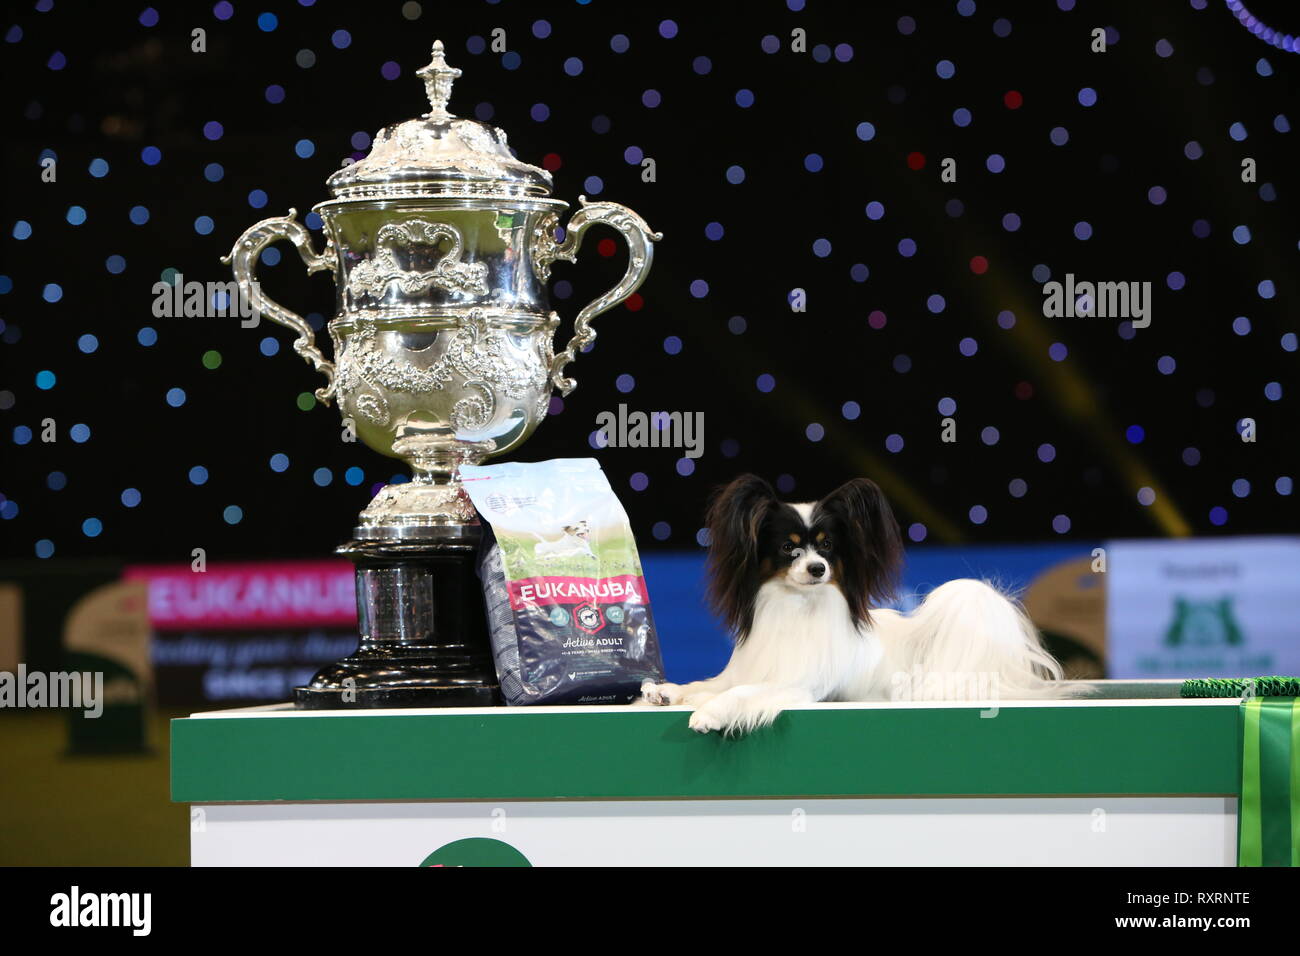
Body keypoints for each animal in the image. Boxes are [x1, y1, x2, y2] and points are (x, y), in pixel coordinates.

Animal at [634, 476, 1060, 738]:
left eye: (826, 547)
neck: (795, 606)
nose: (817, 569)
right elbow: (710, 684)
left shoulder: (798, 685)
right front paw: (668, 692)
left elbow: (739, 693)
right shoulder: (751, 668)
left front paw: (710, 711)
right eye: (788, 547)